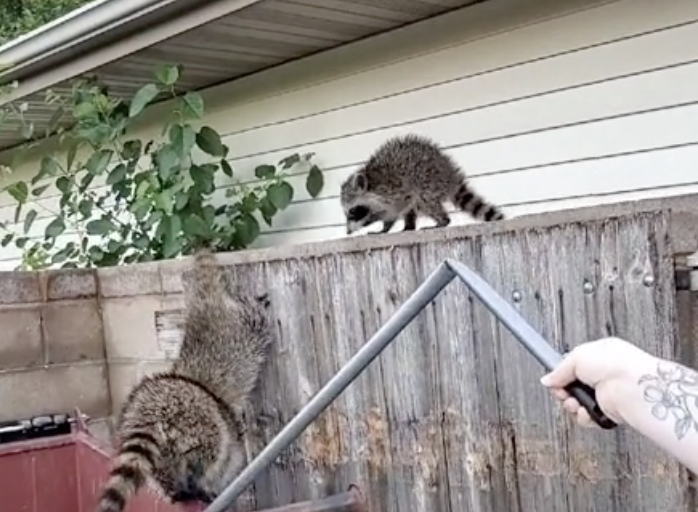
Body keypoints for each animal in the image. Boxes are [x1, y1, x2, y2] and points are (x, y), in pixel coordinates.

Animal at [340, 133, 505, 234]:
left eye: (352, 211)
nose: (347, 232)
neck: (372, 183)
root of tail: (450, 174)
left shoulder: (396, 192)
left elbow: (394, 211)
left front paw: (385, 227)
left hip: (429, 181)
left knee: (425, 200)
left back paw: (442, 221)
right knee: (413, 208)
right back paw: (409, 226)